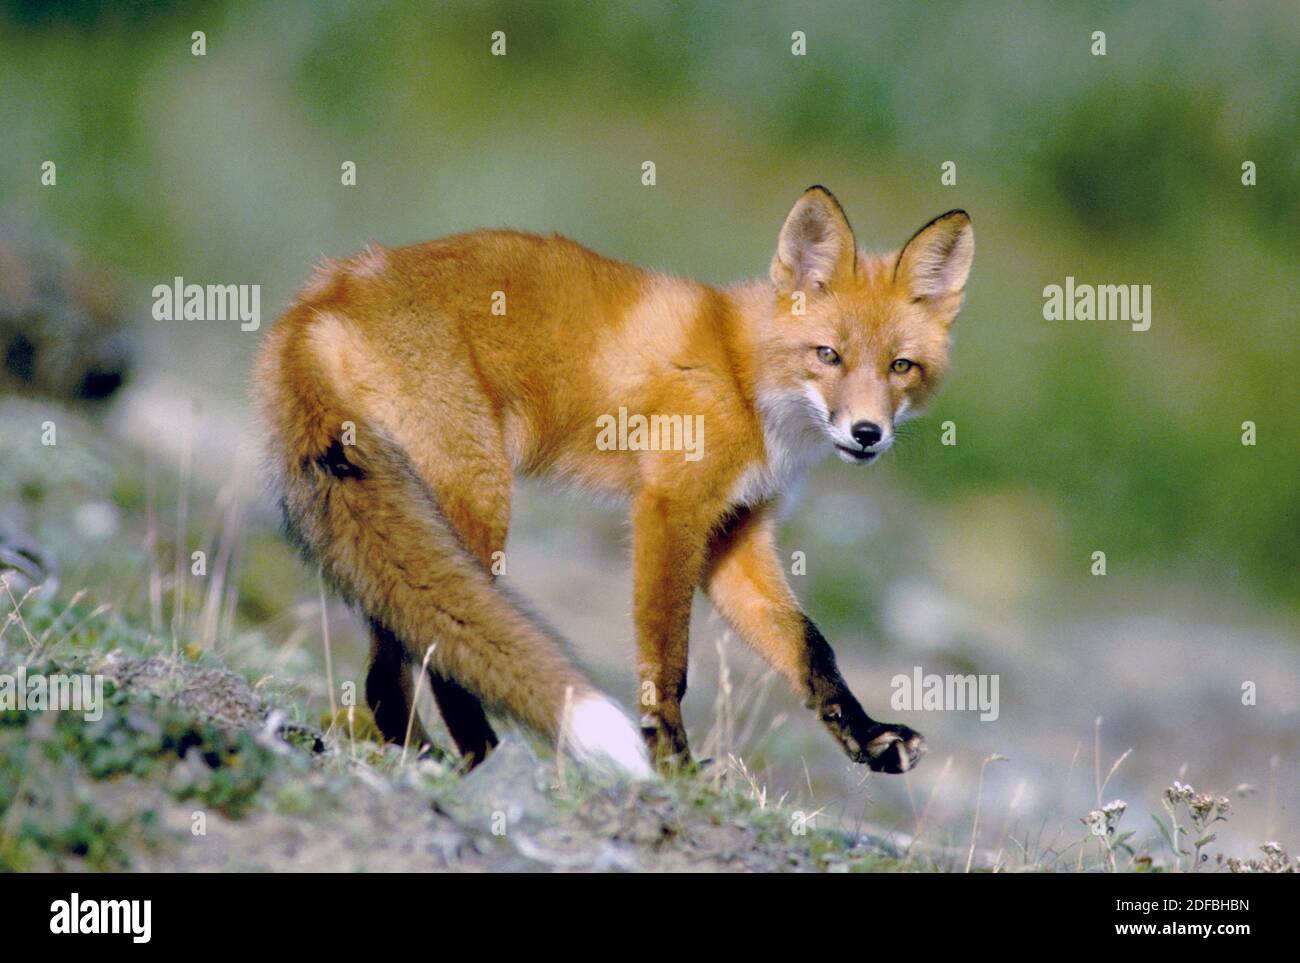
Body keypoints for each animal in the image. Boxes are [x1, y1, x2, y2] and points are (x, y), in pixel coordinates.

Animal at [253, 184, 972, 779]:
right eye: (829, 355)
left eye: (901, 366)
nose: (867, 433)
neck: (745, 378)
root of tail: (323, 295)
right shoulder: (670, 508)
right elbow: (668, 661)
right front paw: (674, 763)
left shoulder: (736, 535)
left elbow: (810, 647)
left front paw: (870, 738)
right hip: (476, 502)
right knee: (430, 646)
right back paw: (480, 754)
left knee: (386, 666)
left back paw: (421, 752)